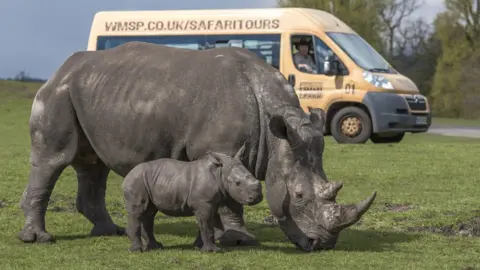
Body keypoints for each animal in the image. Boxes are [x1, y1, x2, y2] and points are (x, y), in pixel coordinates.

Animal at [121, 146, 262, 253]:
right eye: (238, 183)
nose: (257, 197)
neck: (219, 173)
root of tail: (129, 174)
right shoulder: (204, 203)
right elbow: (207, 226)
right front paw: (213, 251)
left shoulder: (211, 202)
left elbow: (207, 225)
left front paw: (199, 247)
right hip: (137, 181)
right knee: (138, 211)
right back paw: (137, 251)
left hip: (149, 181)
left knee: (149, 213)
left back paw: (155, 247)